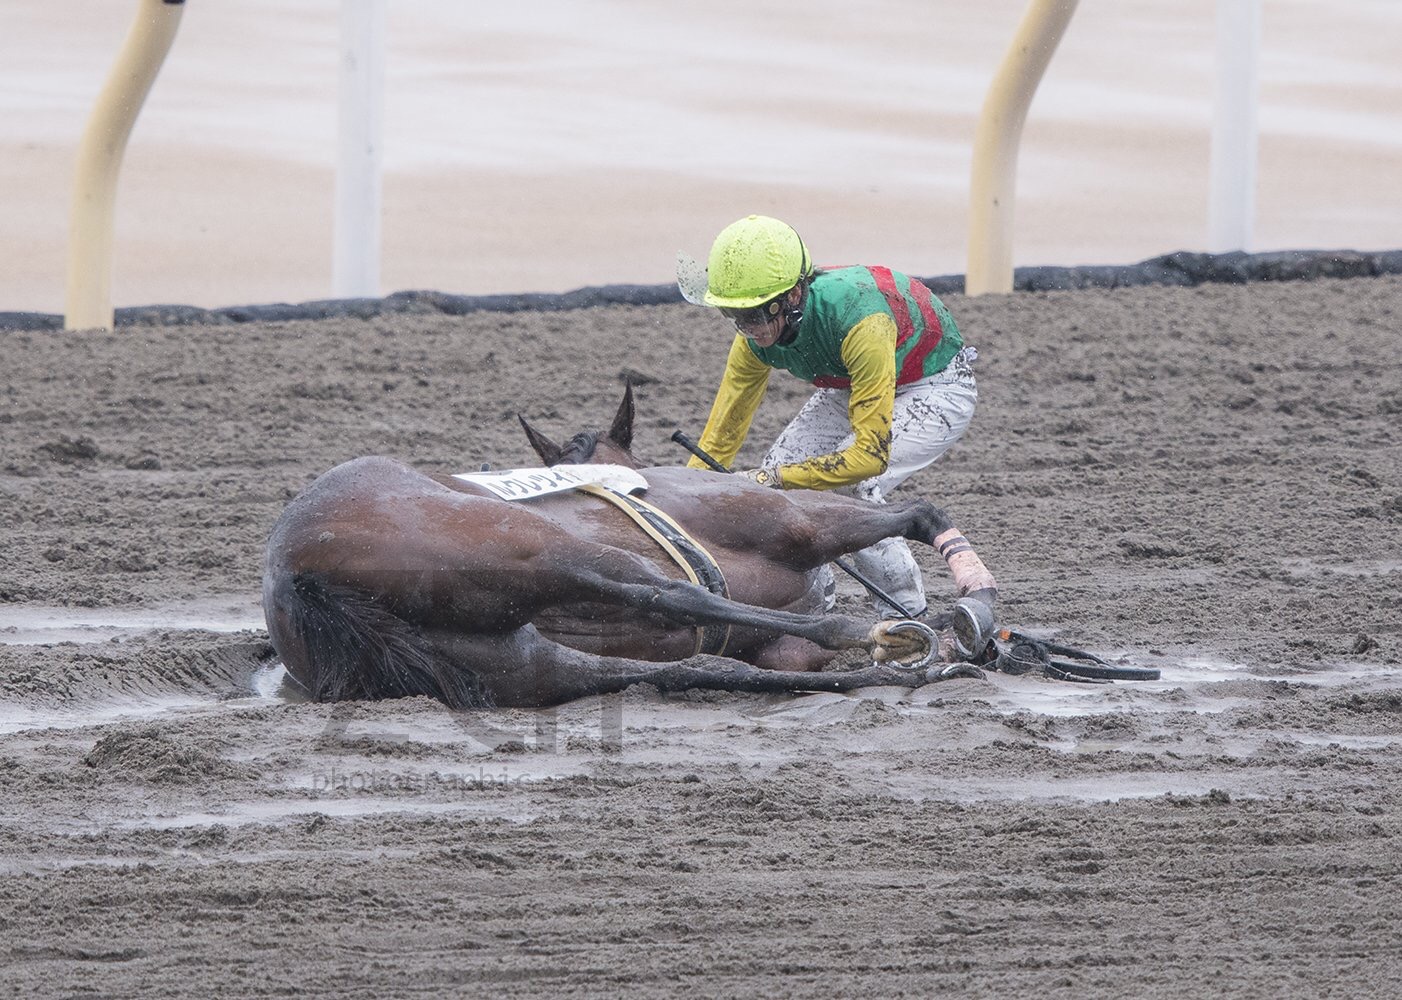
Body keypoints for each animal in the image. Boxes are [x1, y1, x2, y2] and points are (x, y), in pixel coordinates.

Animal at [261, 385, 999, 708]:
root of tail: (296, 573)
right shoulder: (793, 521)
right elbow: (916, 513)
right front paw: (972, 605)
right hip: (536, 549)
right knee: (660, 590)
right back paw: (895, 638)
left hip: (518, 662)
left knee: (692, 669)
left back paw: (910, 666)